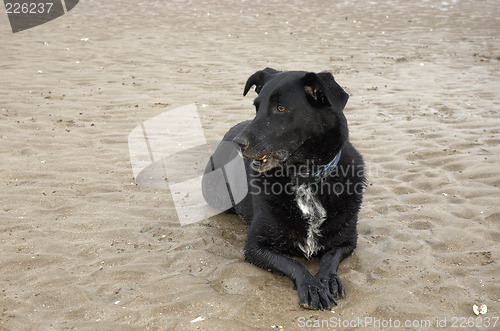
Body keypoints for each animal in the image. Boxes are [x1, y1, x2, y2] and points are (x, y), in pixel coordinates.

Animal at [201, 68, 366, 312]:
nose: (238, 144)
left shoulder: (347, 242)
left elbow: (329, 258)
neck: (305, 178)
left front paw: (327, 279)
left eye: (281, 108)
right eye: (257, 107)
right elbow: (294, 263)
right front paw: (312, 285)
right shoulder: (255, 247)